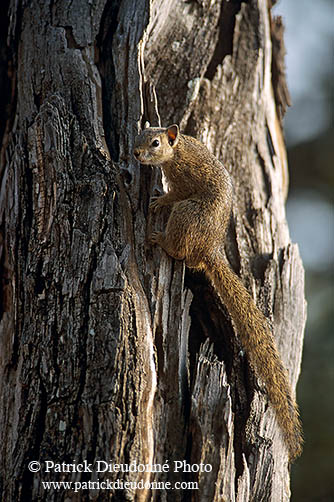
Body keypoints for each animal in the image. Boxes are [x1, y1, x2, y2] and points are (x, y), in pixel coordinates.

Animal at [132, 123, 302, 460]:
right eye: (139, 138)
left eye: (155, 143)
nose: (135, 153)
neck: (179, 150)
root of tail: (209, 250)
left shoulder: (184, 179)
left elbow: (175, 193)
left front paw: (160, 200)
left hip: (186, 215)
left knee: (179, 250)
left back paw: (160, 239)